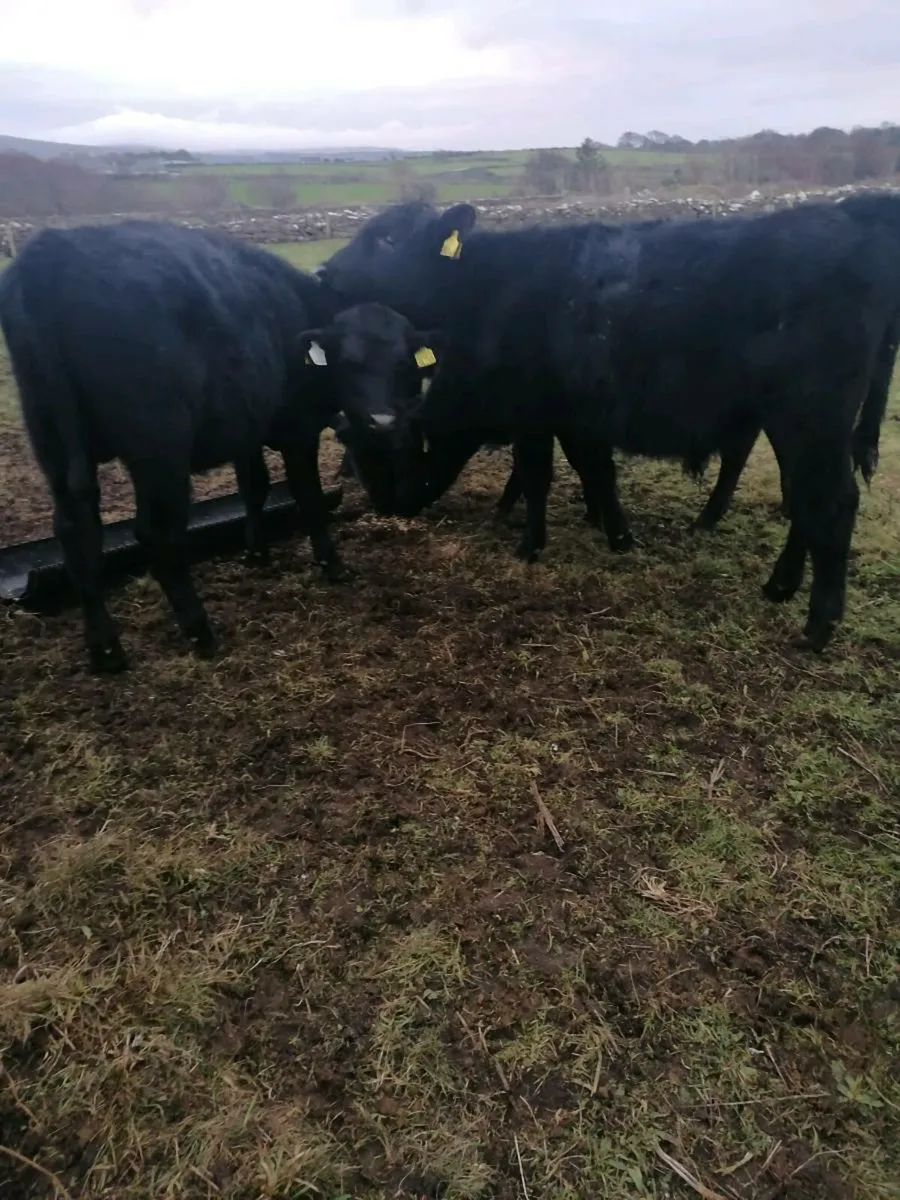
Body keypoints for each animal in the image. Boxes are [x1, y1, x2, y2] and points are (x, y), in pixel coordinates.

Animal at [0, 219, 436, 672]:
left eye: (401, 362)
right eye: (349, 363)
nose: (382, 419)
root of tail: (51, 250)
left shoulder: (245, 429)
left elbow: (254, 488)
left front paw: (256, 553)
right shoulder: (298, 430)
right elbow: (308, 497)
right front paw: (331, 564)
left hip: (54, 445)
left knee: (77, 532)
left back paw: (105, 650)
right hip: (160, 450)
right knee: (156, 533)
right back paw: (200, 630)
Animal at [315, 196, 900, 651]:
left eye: (387, 238)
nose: (322, 272)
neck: (490, 288)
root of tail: (849, 215)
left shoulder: (534, 412)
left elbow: (538, 475)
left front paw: (530, 546)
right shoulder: (580, 415)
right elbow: (594, 470)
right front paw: (615, 533)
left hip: (810, 418)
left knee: (833, 502)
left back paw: (818, 625)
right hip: (795, 424)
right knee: (806, 500)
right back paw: (780, 585)